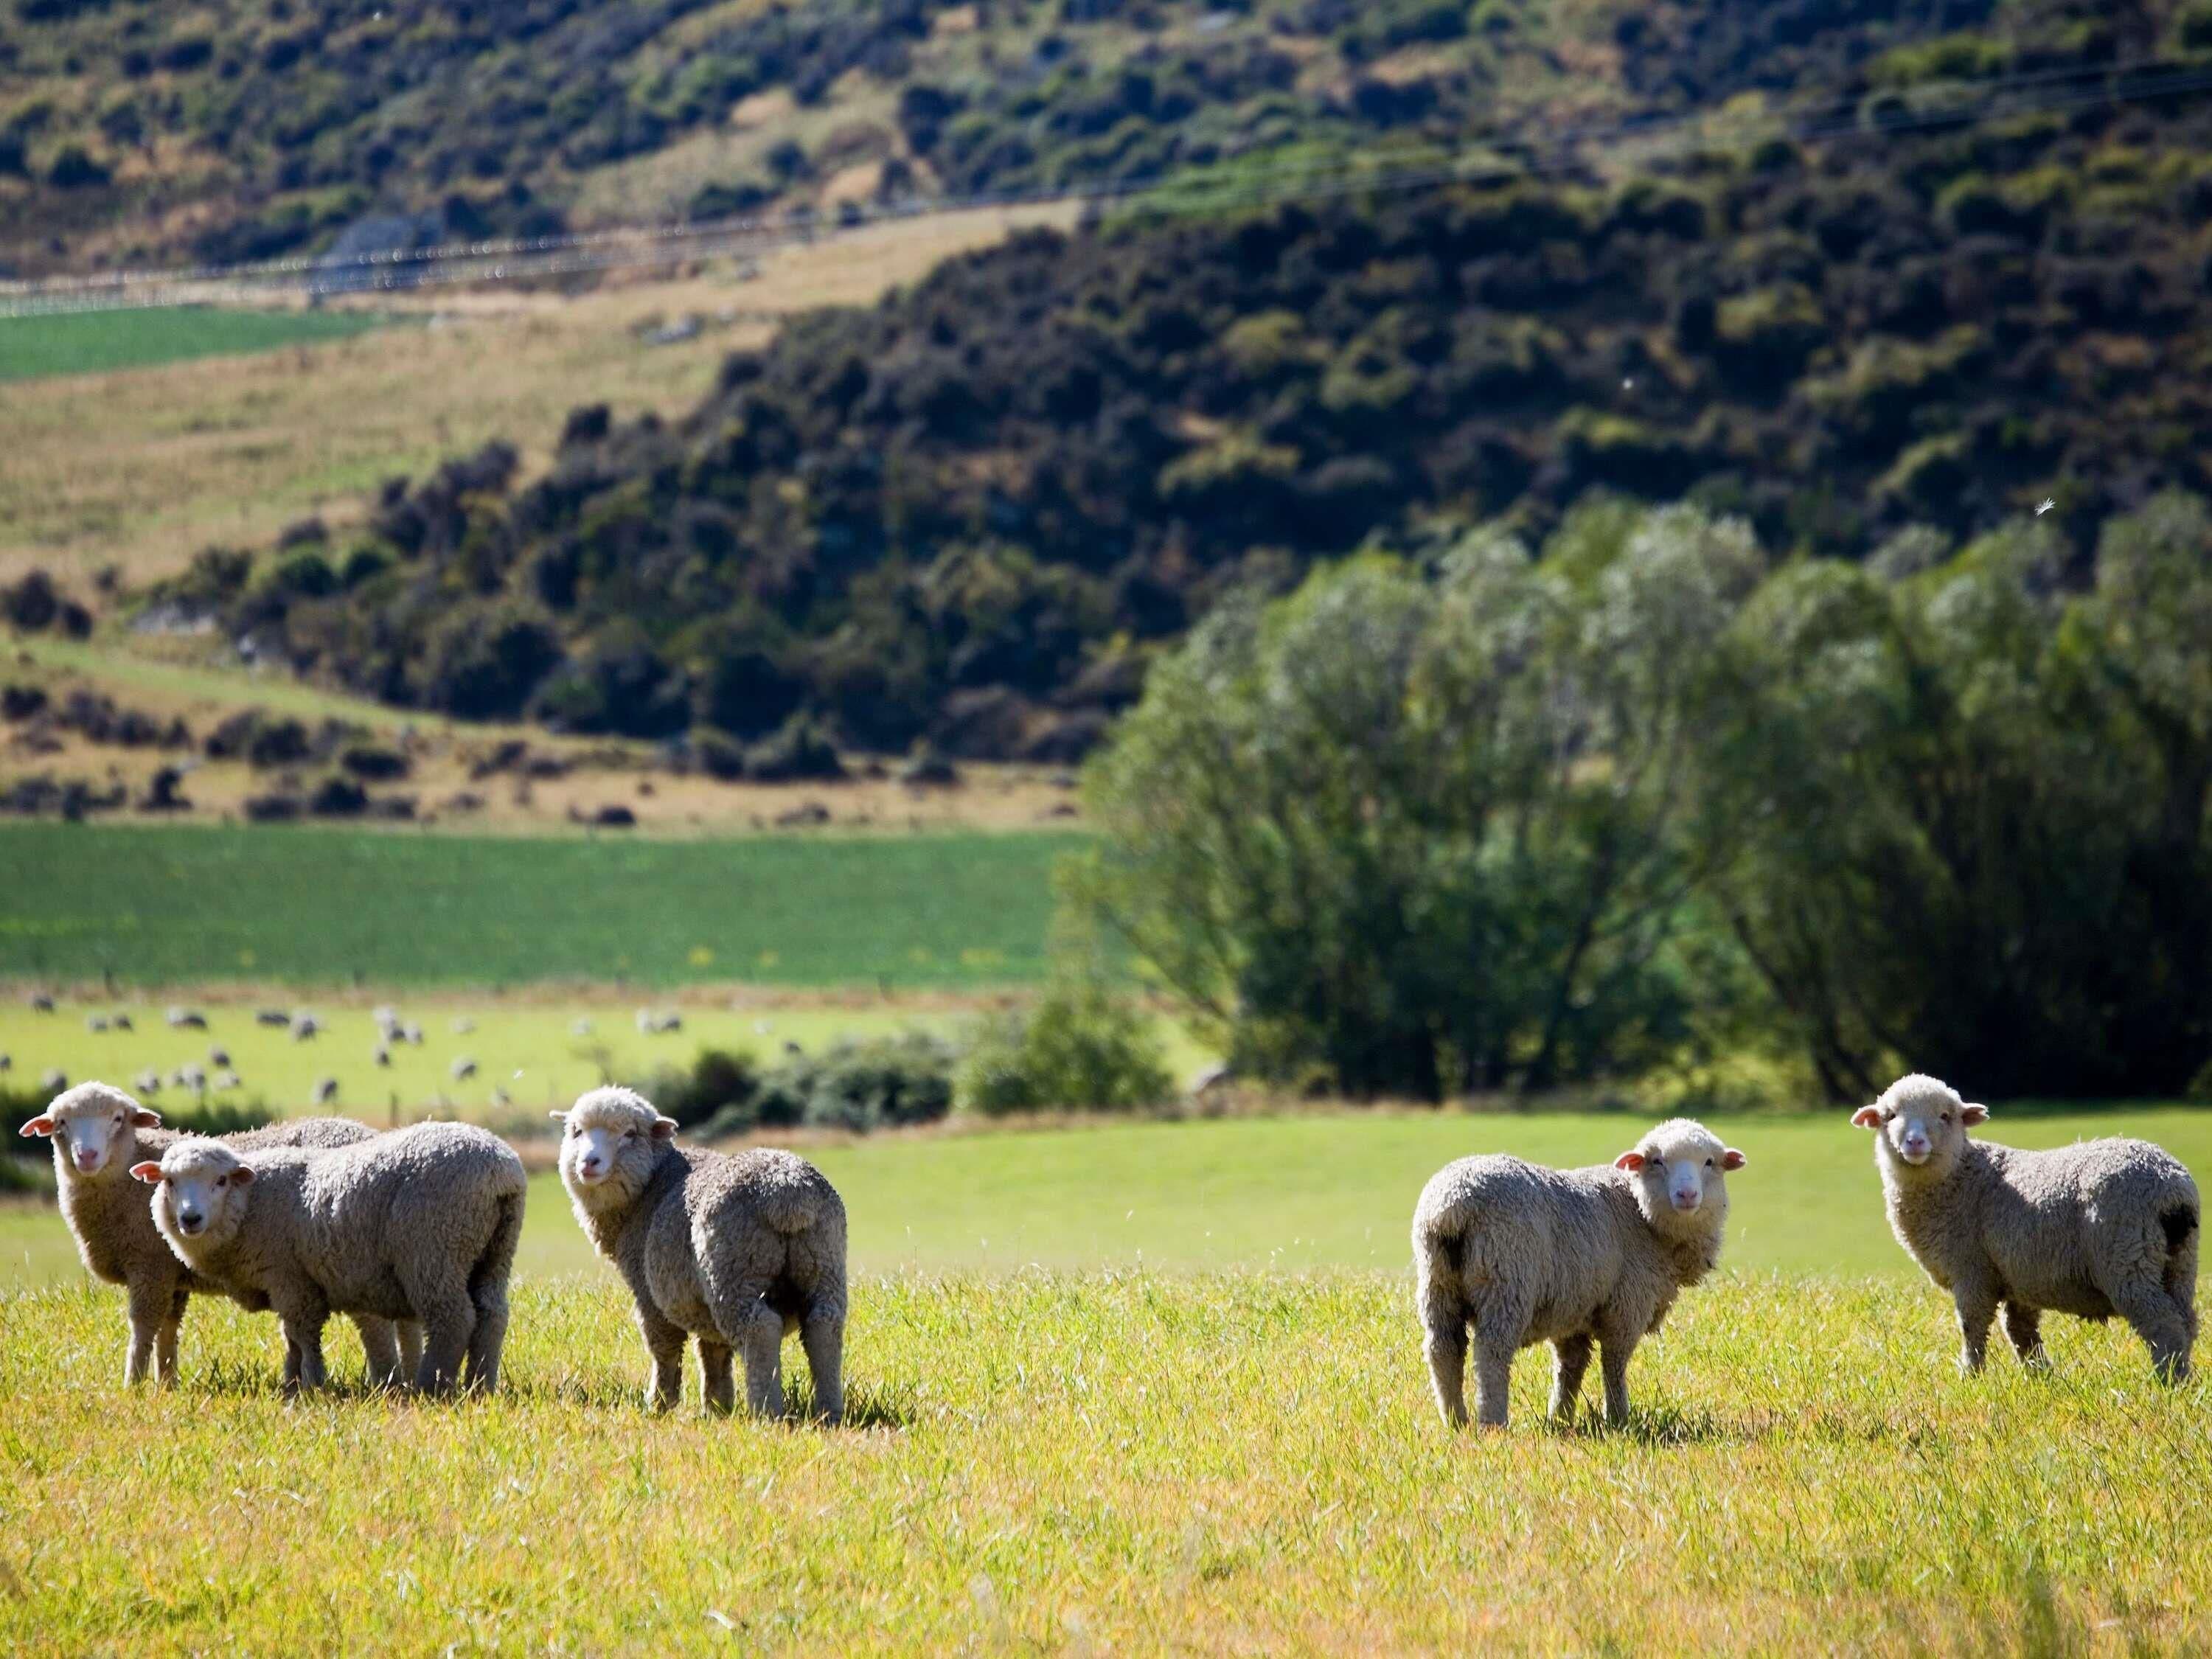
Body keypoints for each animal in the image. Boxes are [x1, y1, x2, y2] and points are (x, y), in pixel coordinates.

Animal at [17, 1084, 421, 1386]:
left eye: (117, 1119)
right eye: (62, 1122)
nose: (87, 1156)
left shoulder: (150, 1266)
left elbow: (143, 1326)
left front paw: (133, 1385)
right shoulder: (172, 1272)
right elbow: (169, 1328)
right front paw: (167, 1384)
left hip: (347, 1254)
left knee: (375, 1324)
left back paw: (384, 1382)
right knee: (404, 1320)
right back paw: (409, 1379)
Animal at [133, 1121, 526, 1395]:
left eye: (220, 1181)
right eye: (169, 1182)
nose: (190, 1219)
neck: (250, 1204)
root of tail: (500, 1172)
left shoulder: (292, 1281)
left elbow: (303, 1336)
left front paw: (311, 1385)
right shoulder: (286, 1286)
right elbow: (290, 1338)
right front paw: (291, 1384)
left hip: (435, 1249)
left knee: (453, 1318)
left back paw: (433, 1386)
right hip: (495, 1252)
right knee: (492, 1314)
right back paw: (480, 1386)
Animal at [550, 1086, 846, 1421]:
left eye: (630, 1134)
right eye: (576, 1131)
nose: (589, 1163)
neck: (649, 1187)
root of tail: (787, 1192)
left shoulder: (649, 1292)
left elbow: (664, 1349)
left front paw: (659, 1404)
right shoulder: (700, 1304)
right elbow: (713, 1351)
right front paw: (717, 1407)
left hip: (733, 1270)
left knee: (761, 1328)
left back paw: (766, 1412)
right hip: (824, 1263)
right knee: (824, 1324)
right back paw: (829, 1411)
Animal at [1412, 1118, 1746, 1430]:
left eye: (1709, 1162)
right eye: (1657, 1161)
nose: (1687, 1194)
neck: (1641, 1214)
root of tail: (1453, 1206)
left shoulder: (1573, 1310)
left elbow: (1570, 1367)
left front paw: (1560, 1418)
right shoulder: (1626, 1307)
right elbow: (1613, 1365)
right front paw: (1618, 1419)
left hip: (1437, 1284)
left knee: (1443, 1349)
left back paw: (1455, 1420)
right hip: (1506, 1280)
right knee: (1491, 1352)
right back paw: (1493, 1422)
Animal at [1853, 1074, 2199, 1382]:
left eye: (1945, 1116)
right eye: (1890, 1116)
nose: (1914, 1143)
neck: (1959, 1177)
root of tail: (2171, 1188)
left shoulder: (1972, 1271)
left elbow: (1972, 1327)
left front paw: (1971, 1376)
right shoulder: (2017, 1275)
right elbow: (2020, 1330)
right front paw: (2039, 1376)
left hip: (2127, 1254)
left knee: (2162, 1321)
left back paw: (2168, 1382)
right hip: (2179, 1261)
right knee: (2187, 1321)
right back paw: (2184, 1379)